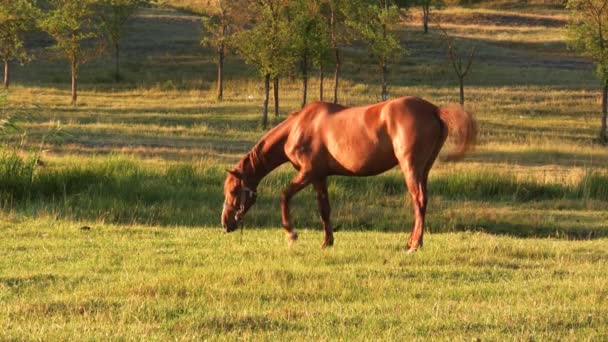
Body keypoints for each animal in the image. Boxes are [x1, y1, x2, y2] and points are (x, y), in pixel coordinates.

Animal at [221, 95, 478, 251]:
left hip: (411, 167)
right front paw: (327, 242)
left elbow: (285, 195)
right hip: (424, 169)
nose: (225, 223)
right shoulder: (319, 177)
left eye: (233, 191)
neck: (298, 127)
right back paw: (412, 242)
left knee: (419, 200)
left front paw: (291, 234)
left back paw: (414, 245)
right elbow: (324, 209)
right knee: (422, 202)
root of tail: (434, 109)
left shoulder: (307, 173)